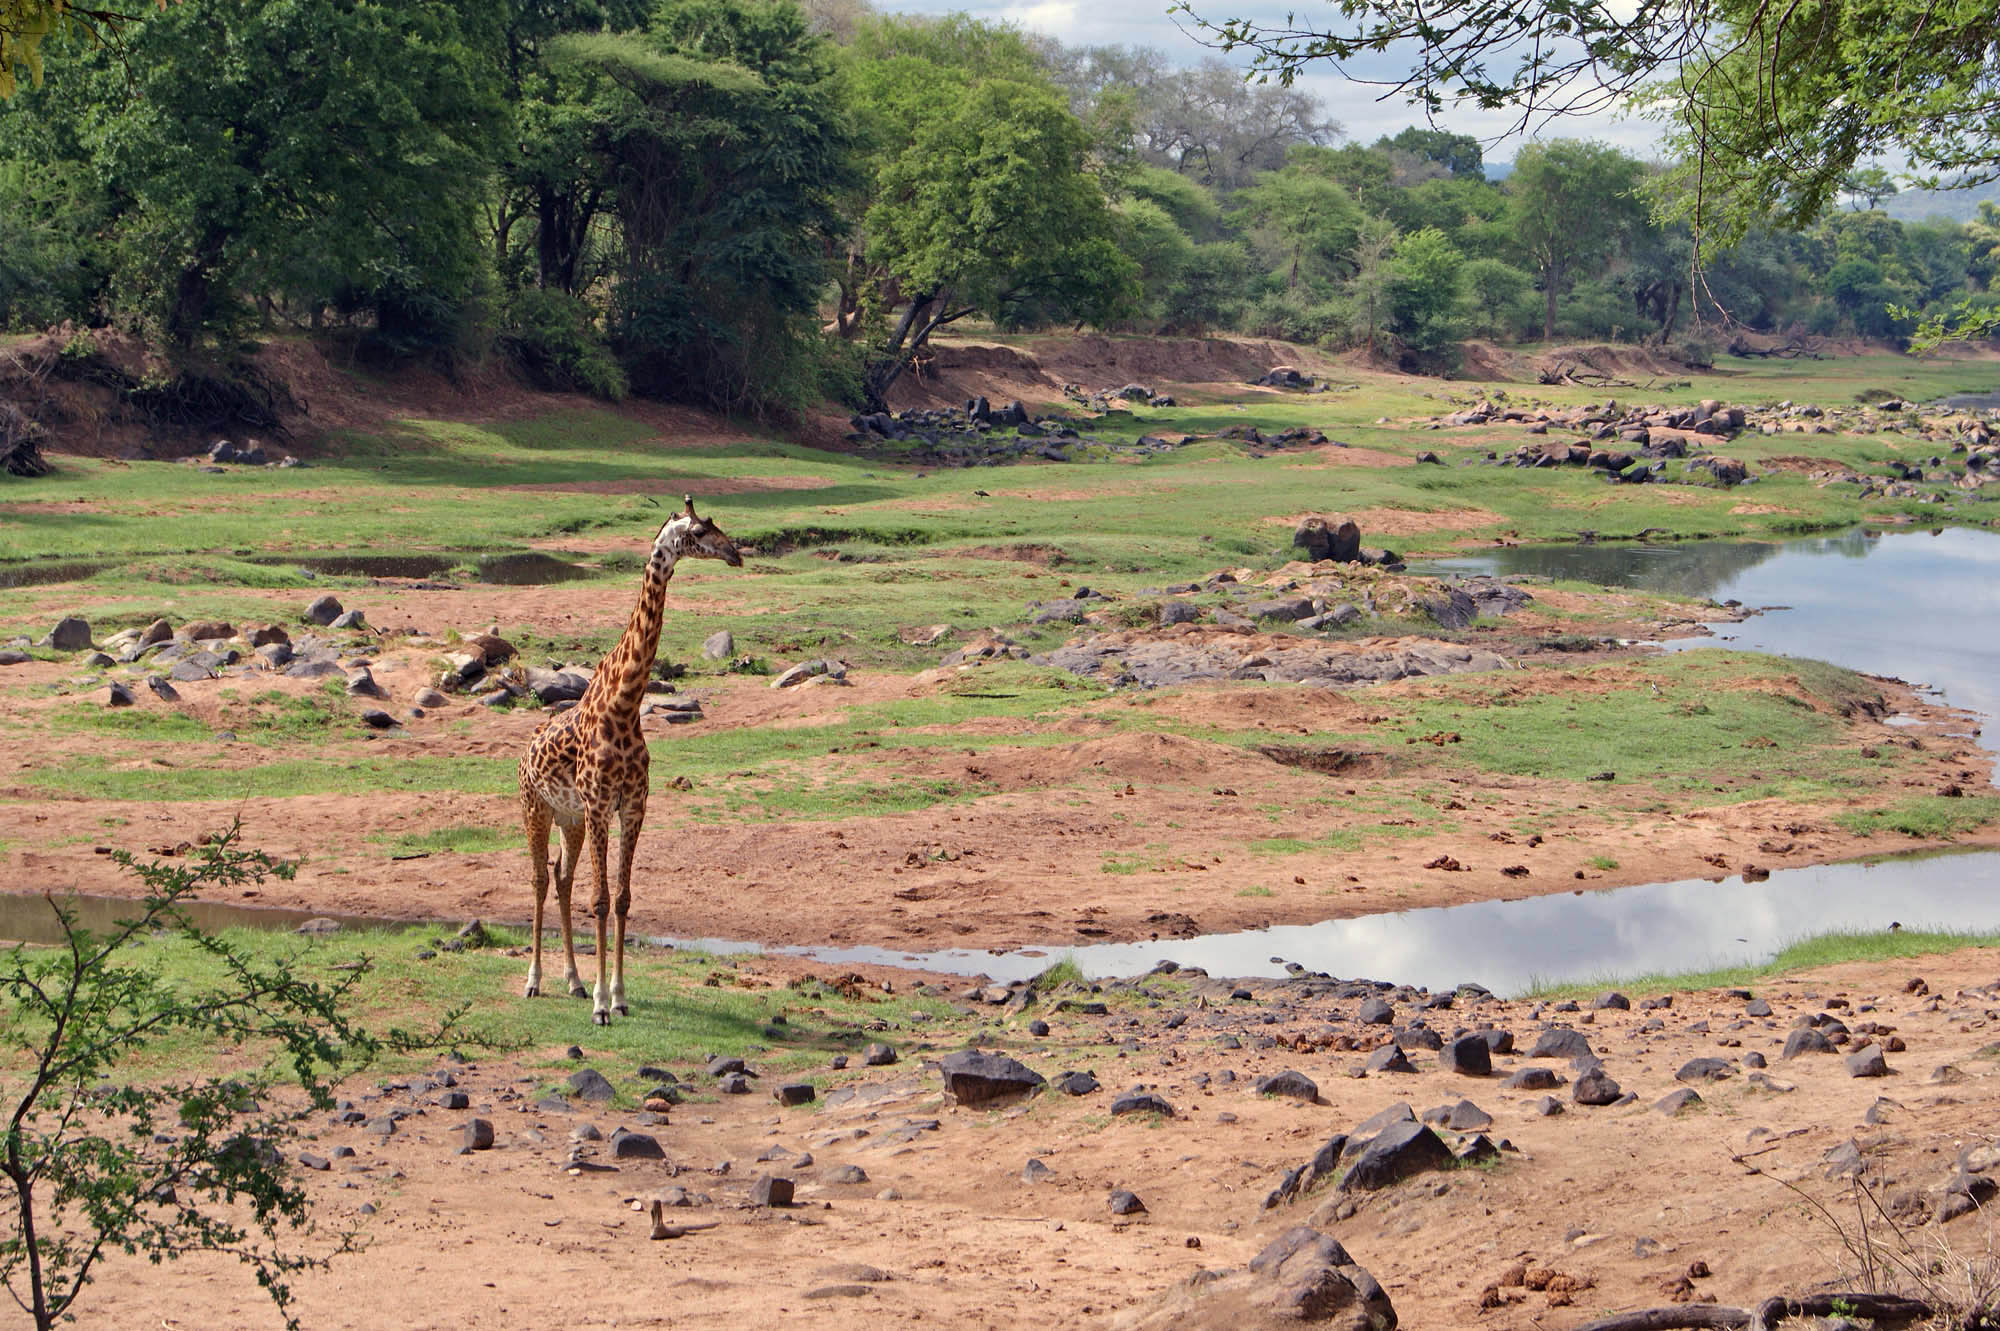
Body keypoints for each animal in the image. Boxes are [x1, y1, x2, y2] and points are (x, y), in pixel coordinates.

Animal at [516, 491, 744, 1019]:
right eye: (699, 532)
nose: (736, 554)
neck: (623, 706)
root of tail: (523, 752)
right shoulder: (601, 805)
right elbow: (599, 899)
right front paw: (603, 1004)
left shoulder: (632, 807)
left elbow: (620, 898)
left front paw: (617, 996)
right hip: (536, 809)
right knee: (539, 880)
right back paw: (535, 981)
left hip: (570, 818)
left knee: (560, 877)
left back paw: (573, 981)